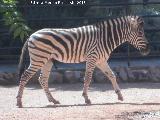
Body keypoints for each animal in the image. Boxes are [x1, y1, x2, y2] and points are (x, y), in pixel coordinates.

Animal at [16, 15, 150, 107]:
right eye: (140, 33)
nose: (148, 50)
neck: (105, 38)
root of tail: (31, 35)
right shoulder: (92, 58)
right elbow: (88, 78)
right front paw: (86, 98)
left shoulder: (101, 60)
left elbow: (112, 75)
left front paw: (120, 95)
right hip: (39, 59)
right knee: (25, 76)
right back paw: (19, 102)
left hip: (47, 60)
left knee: (42, 79)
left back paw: (53, 100)